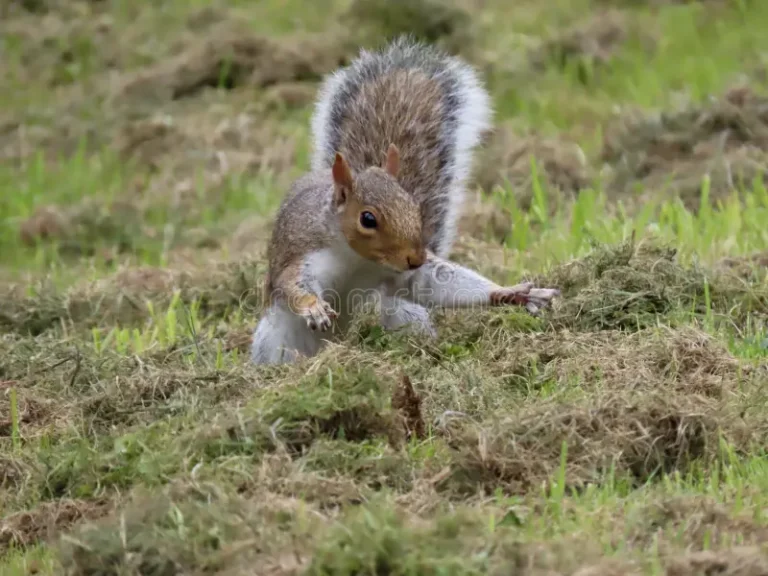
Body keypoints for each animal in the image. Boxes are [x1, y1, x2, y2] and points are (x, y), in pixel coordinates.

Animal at [251, 36, 560, 365]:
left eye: (415, 207)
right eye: (367, 219)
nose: (416, 258)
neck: (356, 258)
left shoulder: (402, 275)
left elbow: (433, 284)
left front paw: (513, 292)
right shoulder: (304, 253)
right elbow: (292, 283)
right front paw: (313, 306)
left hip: (399, 309)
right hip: (275, 338)